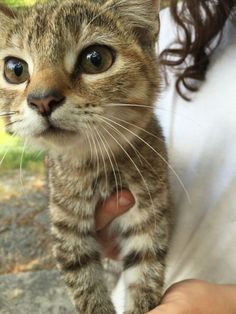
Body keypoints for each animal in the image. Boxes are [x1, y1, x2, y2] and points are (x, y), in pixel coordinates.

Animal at [0, 1, 171, 312]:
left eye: (96, 59)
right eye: (15, 70)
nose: (42, 99)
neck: (97, 164)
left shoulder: (149, 216)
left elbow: (146, 275)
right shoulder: (67, 226)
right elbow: (85, 285)